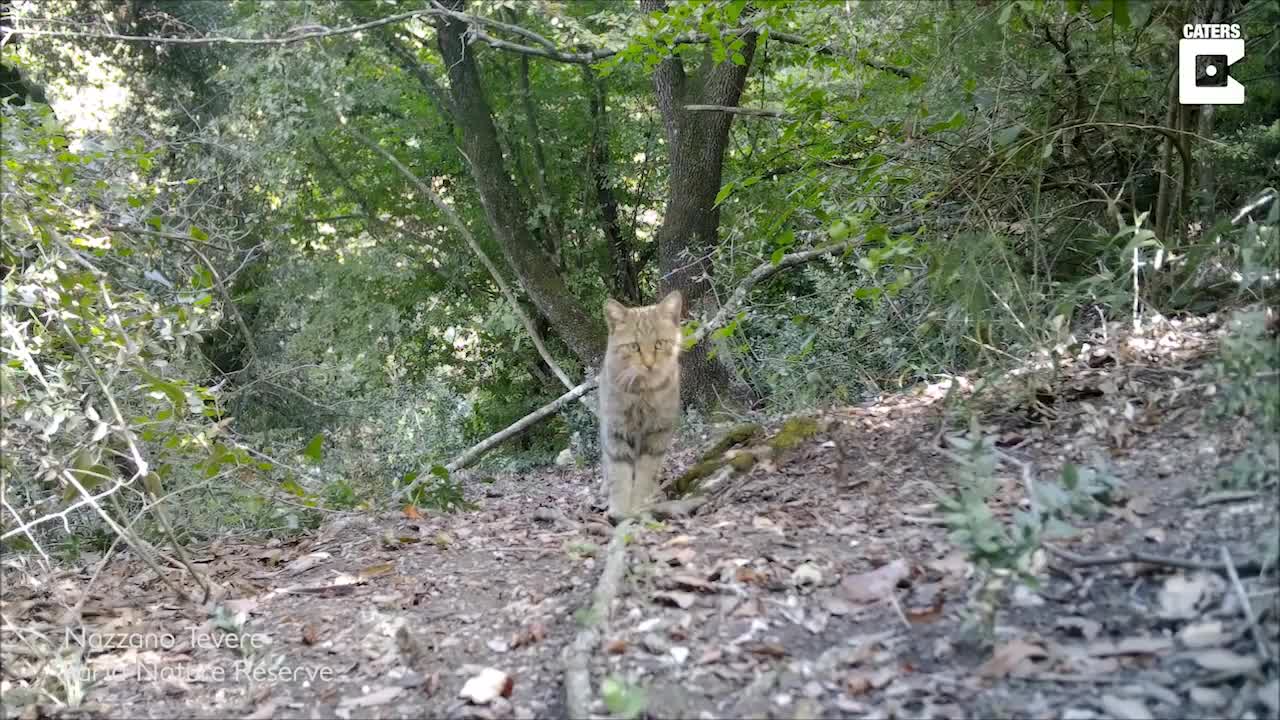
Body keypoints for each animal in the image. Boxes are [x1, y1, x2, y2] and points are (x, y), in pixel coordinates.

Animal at [596, 288, 686, 517]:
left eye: (659, 344)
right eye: (634, 347)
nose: (649, 364)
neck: (642, 394)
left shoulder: (657, 434)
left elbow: (645, 475)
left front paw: (638, 506)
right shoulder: (615, 431)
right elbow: (619, 474)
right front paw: (620, 510)